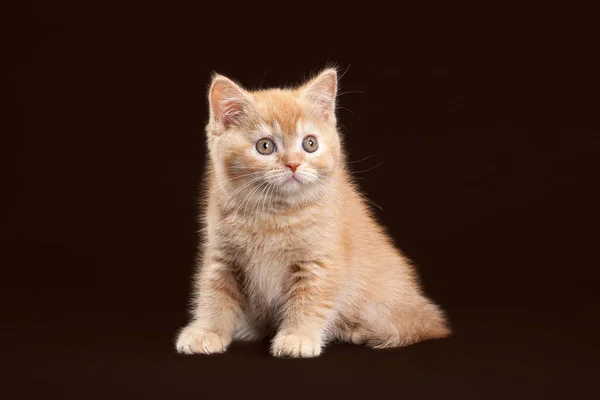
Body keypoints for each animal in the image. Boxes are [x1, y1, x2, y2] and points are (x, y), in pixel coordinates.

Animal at [175, 67, 450, 358]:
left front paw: (297, 337)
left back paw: (355, 331)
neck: (274, 215)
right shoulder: (222, 258)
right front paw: (207, 331)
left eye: (310, 143)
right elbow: (213, 294)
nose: (294, 164)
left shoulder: (321, 261)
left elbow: (309, 300)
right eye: (265, 146)